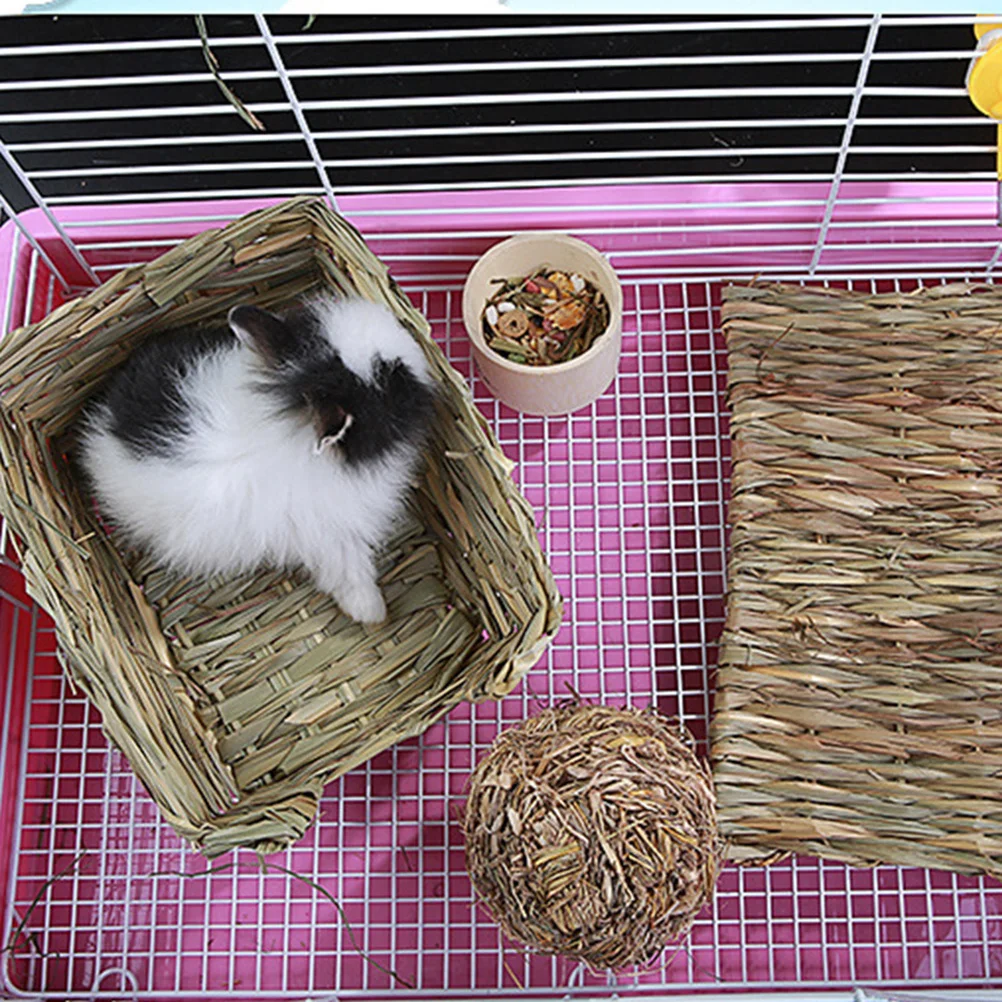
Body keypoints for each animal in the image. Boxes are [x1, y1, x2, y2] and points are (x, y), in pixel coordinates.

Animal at [77, 295, 436, 624]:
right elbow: (350, 573)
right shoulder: (330, 536)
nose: (412, 342)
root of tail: (101, 425)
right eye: (391, 379)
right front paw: (373, 613)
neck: (290, 423)